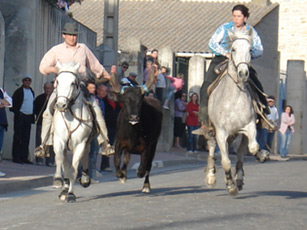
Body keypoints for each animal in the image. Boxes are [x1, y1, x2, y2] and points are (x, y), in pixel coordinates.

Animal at [52, 61, 96, 201]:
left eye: (73, 83)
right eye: (58, 81)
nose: (61, 105)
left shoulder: (80, 144)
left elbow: (74, 168)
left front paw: (71, 194)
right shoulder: (59, 141)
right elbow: (60, 160)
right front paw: (58, 180)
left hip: (86, 143)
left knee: (85, 157)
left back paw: (85, 179)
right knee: (65, 163)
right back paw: (64, 189)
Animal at [206, 28, 268, 194]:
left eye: (250, 49)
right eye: (233, 49)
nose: (243, 73)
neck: (233, 100)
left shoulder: (249, 126)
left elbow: (253, 147)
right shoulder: (221, 133)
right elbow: (225, 161)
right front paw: (230, 185)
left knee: (241, 153)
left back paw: (240, 177)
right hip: (212, 131)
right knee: (212, 148)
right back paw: (211, 176)